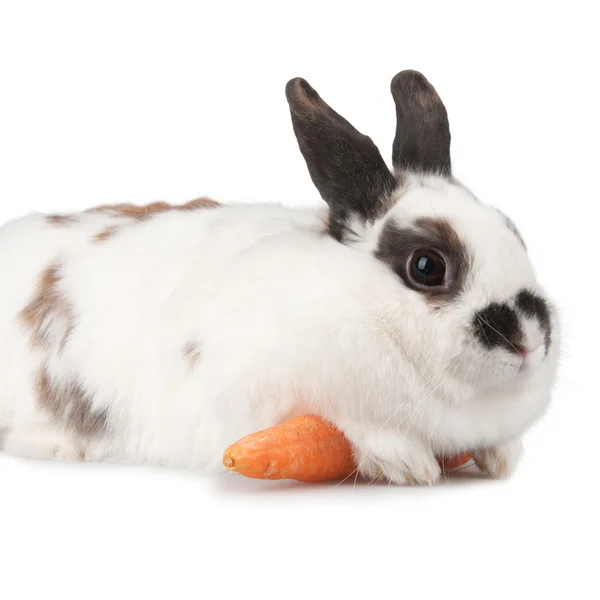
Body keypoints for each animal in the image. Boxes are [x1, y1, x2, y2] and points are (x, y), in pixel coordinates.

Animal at [0, 71, 560, 482]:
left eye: (512, 230)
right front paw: (408, 464)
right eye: (427, 266)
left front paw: (502, 457)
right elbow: (346, 422)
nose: (529, 341)